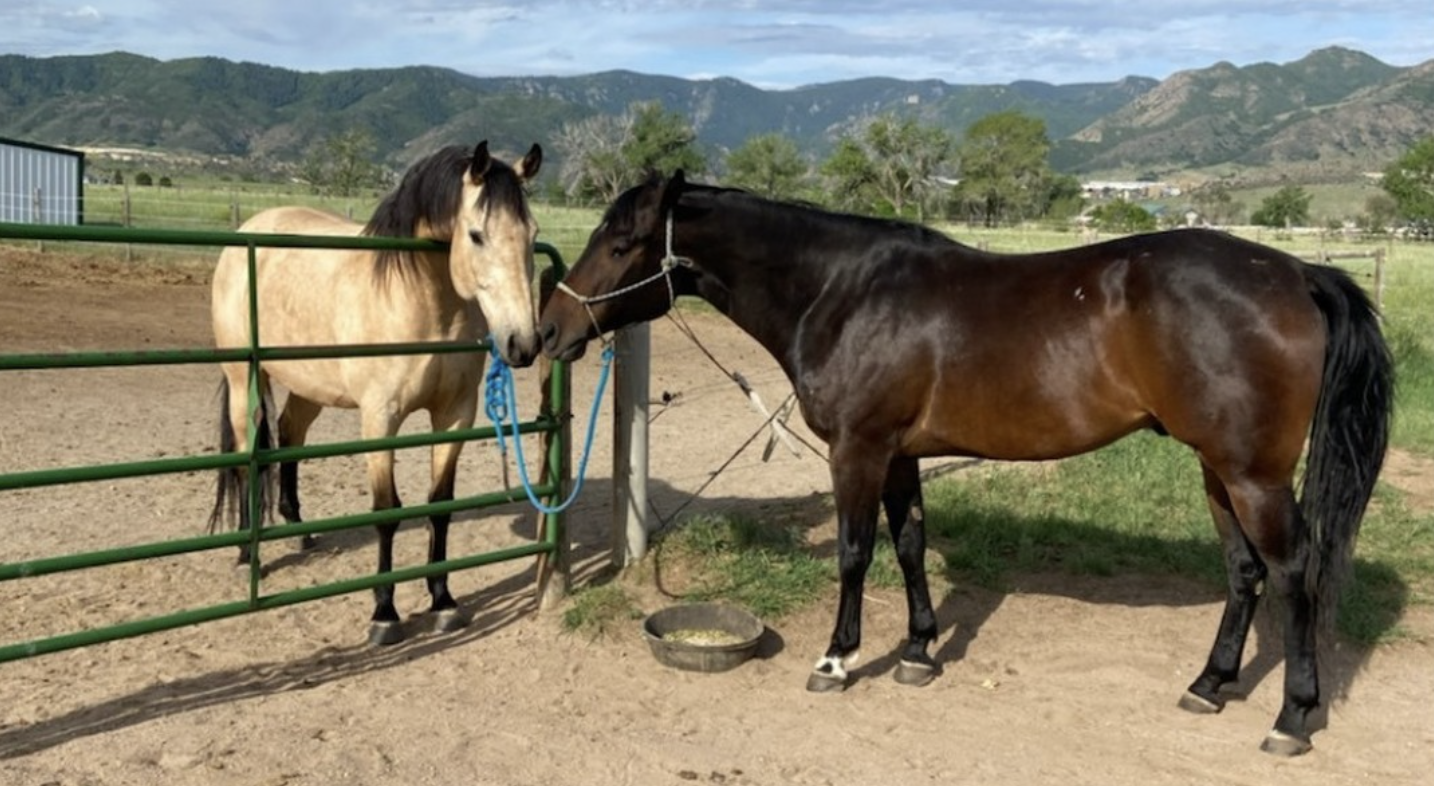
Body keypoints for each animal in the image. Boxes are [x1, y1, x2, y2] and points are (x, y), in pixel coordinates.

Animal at [210, 141, 542, 646]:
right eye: (476, 235)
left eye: (531, 234)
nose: (522, 343)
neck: (420, 300)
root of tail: (246, 233)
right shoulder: (380, 420)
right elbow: (387, 512)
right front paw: (384, 613)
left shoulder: (454, 416)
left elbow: (440, 506)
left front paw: (443, 601)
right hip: (242, 381)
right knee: (248, 454)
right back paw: (249, 553)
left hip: (310, 385)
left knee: (290, 433)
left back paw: (298, 529)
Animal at [537, 171, 1394, 755]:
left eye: (621, 244)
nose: (547, 332)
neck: (844, 293)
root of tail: (1298, 274)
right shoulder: (899, 455)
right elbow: (910, 544)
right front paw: (919, 652)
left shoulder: (858, 449)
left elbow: (855, 553)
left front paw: (838, 659)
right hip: (1219, 470)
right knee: (1244, 573)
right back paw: (1210, 686)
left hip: (1254, 477)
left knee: (1292, 574)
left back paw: (1291, 717)